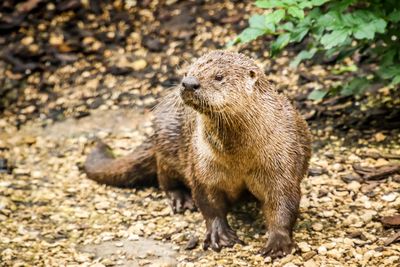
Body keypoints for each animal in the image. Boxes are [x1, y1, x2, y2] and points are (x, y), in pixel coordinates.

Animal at [84, 50, 312, 260]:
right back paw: (180, 199)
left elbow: (283, 203)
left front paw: (278, 243)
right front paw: (219, 235)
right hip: (168, 144)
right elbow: (208, 202)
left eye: (219, 76)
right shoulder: (203, 166)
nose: (188, 83)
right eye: (186, 72)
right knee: (164, 175)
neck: (240, 157)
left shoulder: (282, 162)